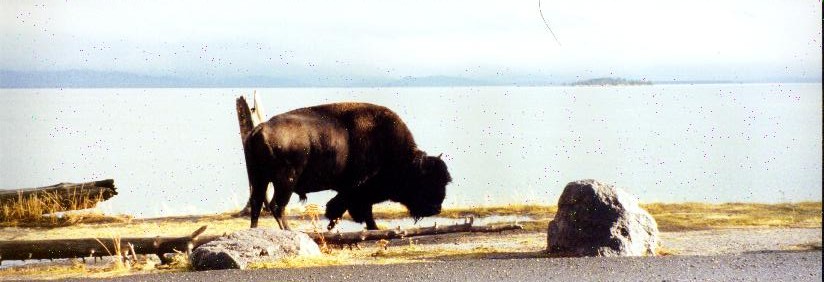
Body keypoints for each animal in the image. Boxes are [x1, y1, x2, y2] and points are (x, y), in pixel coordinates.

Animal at [243, 102, 450, 230]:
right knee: (277, 205)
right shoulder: (358, 189)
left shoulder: (350, 190)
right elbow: (361, 208)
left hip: (258, 178)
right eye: (424, 180)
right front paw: (372, 227)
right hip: (286, 180)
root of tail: (259, 129)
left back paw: (255, 230)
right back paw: (288, 230)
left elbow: (344, 207)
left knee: (257, 203)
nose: (436, 208)